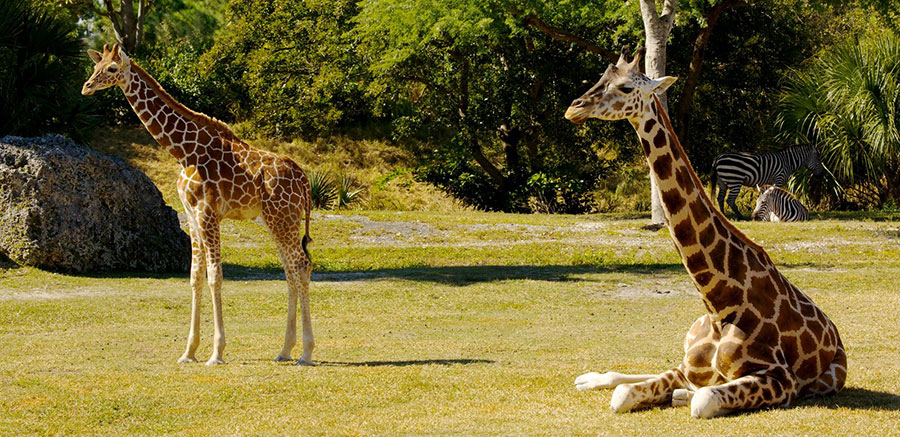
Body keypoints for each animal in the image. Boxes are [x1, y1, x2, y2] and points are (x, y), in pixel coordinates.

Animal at [81, 43, 318, 364]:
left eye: (112, 69)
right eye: (96, 66)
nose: (86, 87)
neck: (184, 152)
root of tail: (304, 180)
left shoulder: (208, 212)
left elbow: (215, 276)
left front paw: (216, 353)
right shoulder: (191, 215)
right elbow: (195, 277)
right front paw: (189, 352)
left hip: (282, 217)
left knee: (301, 265)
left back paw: (306, 352)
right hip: (278, 220)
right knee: (291, 271)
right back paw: (284, 350)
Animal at [564, 46, 844, 416]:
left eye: (625, 87)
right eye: (600, 79)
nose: (574, 108)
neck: (718, 302)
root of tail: (837, 335)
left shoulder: (780, 379)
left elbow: (703, 398)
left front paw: (683, 396)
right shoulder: (687, 367)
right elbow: (624, 394)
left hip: (828, 378)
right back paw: (589, 379)